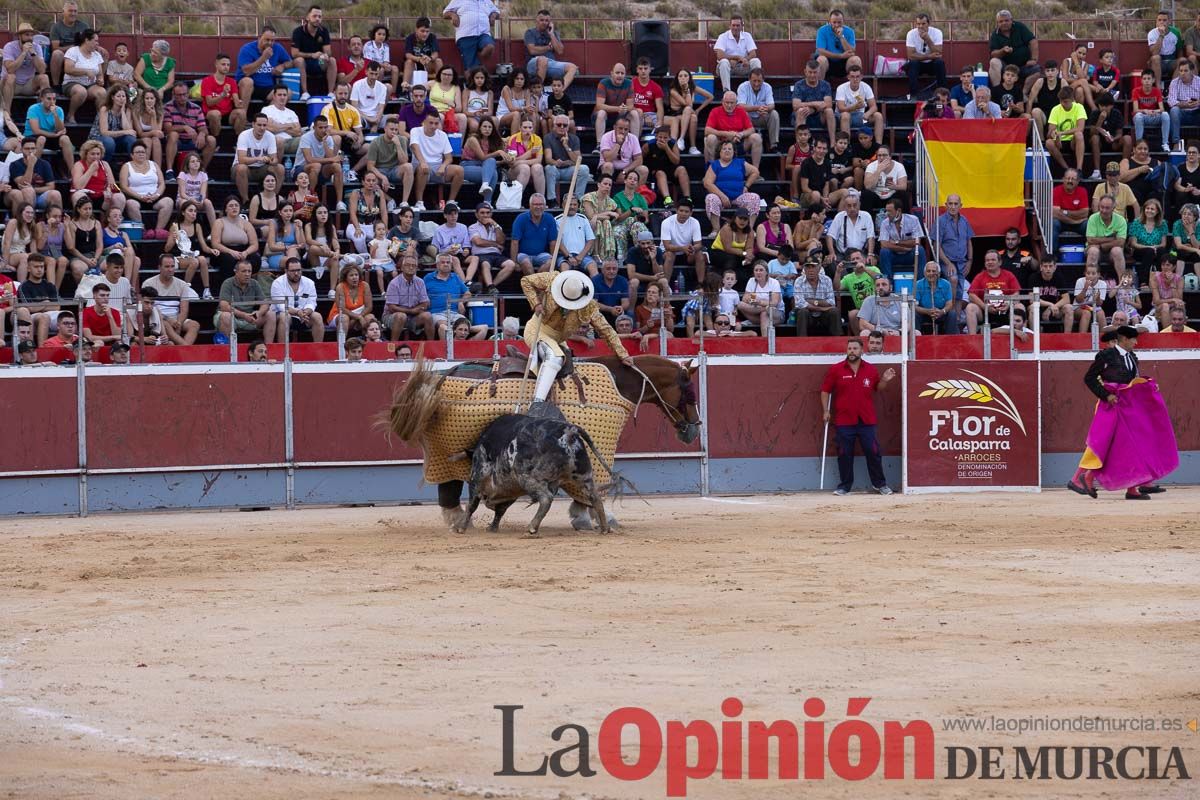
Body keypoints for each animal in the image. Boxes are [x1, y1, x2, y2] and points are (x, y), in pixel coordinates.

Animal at [451, 412, 619, 537]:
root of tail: (568, 430)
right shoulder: (510, 492)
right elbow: (500, 510)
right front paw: (492, 528)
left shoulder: (478, 476)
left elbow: (473, 505)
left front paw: (460, 528)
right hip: (584, 476)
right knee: (595, 498)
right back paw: (605, 528)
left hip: (528, 478)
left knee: (546, 498)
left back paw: (531, 528)